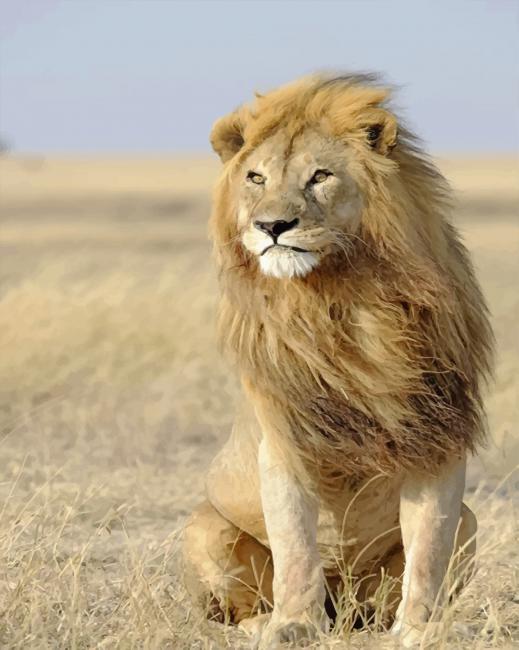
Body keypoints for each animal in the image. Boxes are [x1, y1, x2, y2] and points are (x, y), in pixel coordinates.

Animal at [183, 74, 494, 647]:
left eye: (320, 176)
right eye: (256, 177)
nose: (272, 225)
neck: (342, 301)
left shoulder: (437, 439)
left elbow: (428, 549)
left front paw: (420, 630)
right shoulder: (283, 439)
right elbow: (296, 548)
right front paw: (294, 625)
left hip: (470, 524)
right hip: (204, 526)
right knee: (238, 603)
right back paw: (263, 621)